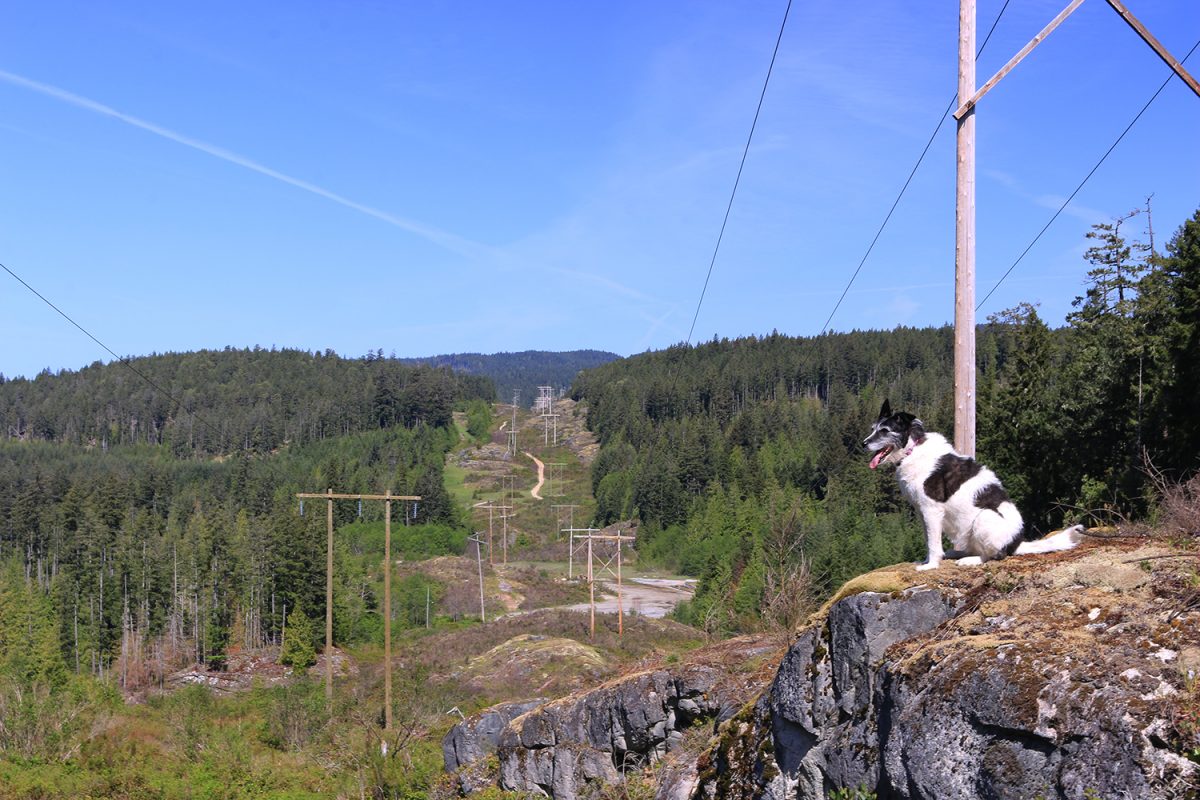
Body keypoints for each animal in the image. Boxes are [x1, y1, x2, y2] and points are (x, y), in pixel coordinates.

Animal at [864, 400, 1080, 568]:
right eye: (873, 429)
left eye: (885, 431)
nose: (864, 443)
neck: (912, 449)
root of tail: (1015, 544)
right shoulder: (921, 511)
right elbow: (929, 540)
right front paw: (927, 560)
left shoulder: (931, 510)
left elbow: (933, 543)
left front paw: (931, 565)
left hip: (984, 518)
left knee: (994, 555)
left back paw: (971, 560)